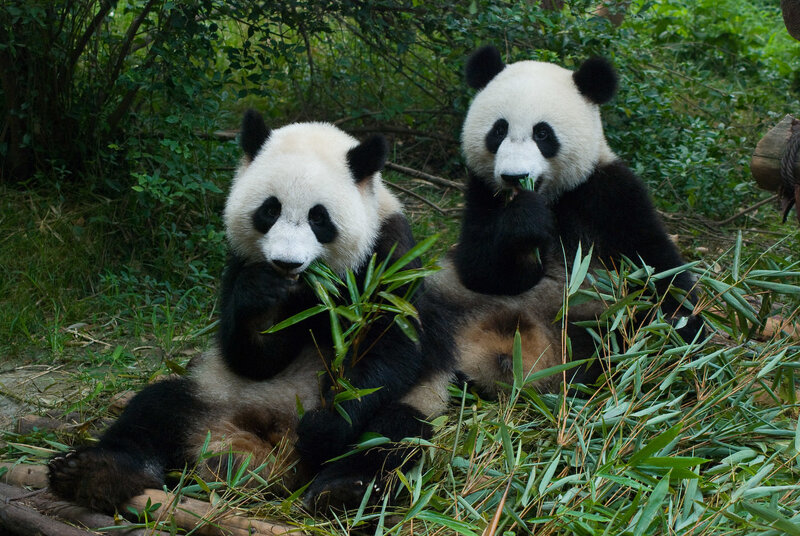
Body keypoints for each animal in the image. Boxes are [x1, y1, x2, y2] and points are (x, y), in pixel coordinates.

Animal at [48, 110, 452, 513]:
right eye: (270, 210)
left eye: (319, 218)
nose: (286, 262)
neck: (306, 287)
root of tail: (266, 451)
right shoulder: (241, 260)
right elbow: (252, 356)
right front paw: (260, 293)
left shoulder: (389, 254)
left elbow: (389, 345)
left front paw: (325, 425)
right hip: (217, 393)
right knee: (155, 410)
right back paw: (92, 472)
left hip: (411, 409)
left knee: (393, 435)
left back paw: (344, 491)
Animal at [426, 45, 701, 397]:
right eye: (498, 130)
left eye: (542, 133)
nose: (515, 177)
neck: (552, 197)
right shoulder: (482, 192)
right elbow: (482, 269)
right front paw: (525, 224)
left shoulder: (608, 193)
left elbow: (656, 270)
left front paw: (679, 333)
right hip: (445, 296)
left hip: (590, 329)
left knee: (620, 336)